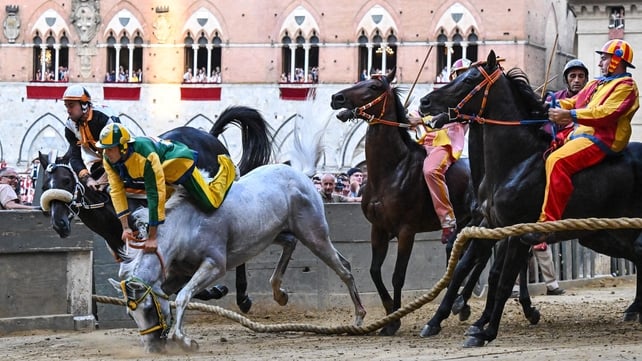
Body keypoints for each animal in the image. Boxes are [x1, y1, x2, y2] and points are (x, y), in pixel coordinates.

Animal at [39, 104, 270, 310]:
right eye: (44, 186)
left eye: (66, 180)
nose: (59, 224)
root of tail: (210, 136)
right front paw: (211, 290)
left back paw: (243, 297)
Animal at [110, 164, 364, 352]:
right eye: (130, 314)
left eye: (148, 309)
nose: (152, 348)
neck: (186, 226)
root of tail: (301, 177)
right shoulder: (179, 273)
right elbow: (175, 294)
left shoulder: (214, 265)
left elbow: (183, 297)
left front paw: (185, 341)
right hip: (277, 233)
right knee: (293, 246)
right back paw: (279, 294)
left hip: (314, 235)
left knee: (344, 269)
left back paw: (359, 318)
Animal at [330, 68, 476, 334]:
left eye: (374, 87)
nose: (337, 98)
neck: (392, 170)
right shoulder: (378, 229)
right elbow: (374, 271)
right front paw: (389, 311)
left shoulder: (406, 231)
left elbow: (398, 275)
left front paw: (394, 320)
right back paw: (460, 303)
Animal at [418, 50, 640, 346]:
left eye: (470, 79)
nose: (425, 101)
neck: (516, 162)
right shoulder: (490, 225)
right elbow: (468, 268)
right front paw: (446, 319)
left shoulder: (517, 231)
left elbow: (502, 279)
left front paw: (485, 330)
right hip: (603, 233)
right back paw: (634, 308)